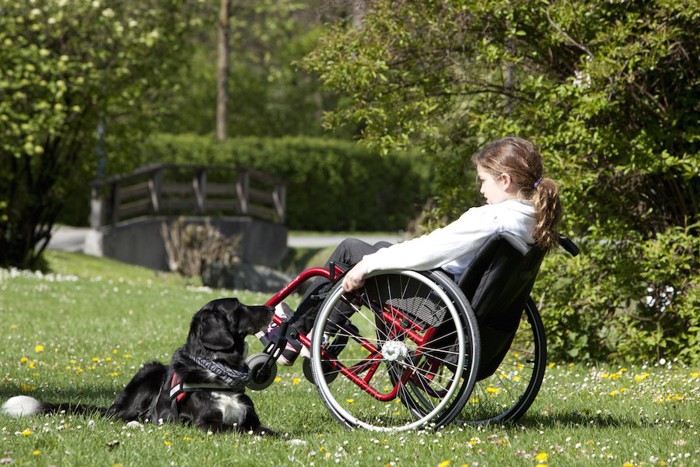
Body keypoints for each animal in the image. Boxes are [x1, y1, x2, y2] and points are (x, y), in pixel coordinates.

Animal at [2, 300, 276, 436]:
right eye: (239, 308)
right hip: (149, 372)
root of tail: (113, 405)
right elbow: (238, 431)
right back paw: (135, 422)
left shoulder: (251, 420)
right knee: (122, 417)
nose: (272, 308)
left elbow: (268, 431)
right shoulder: (205, 424)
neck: (220, 370)